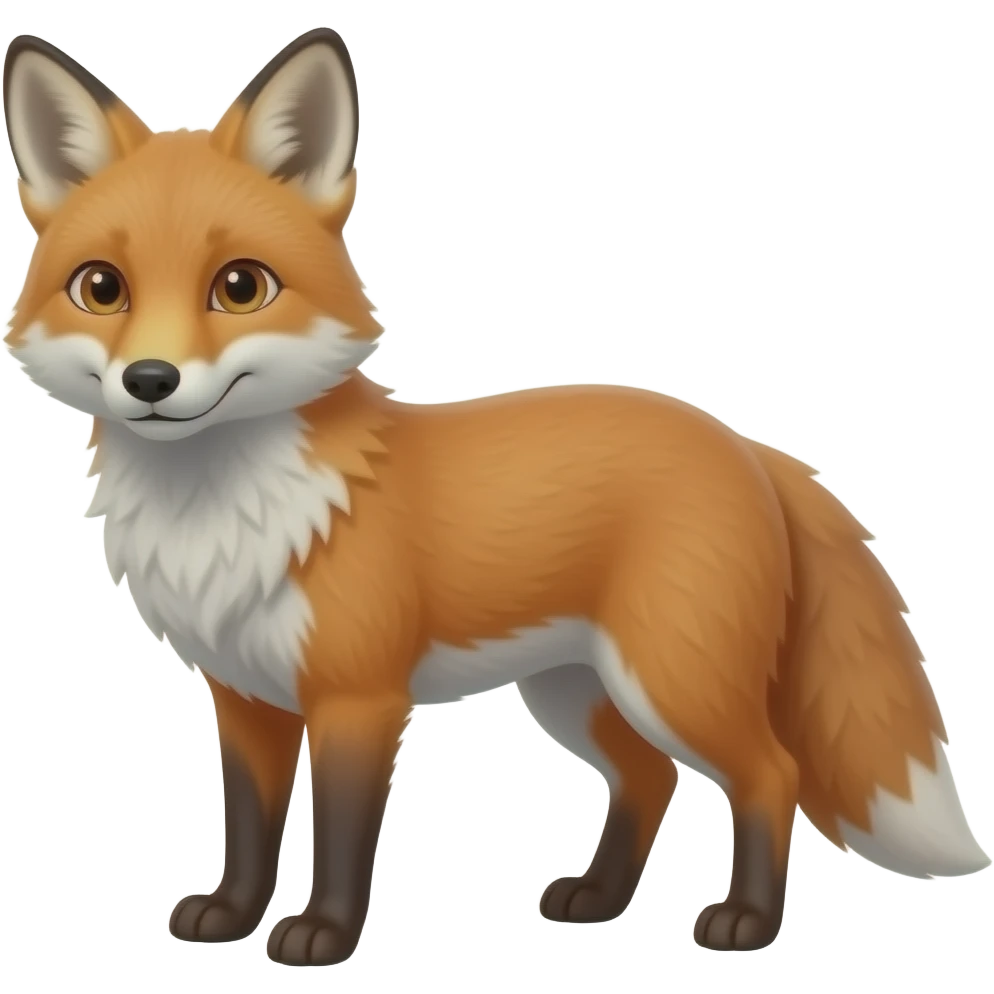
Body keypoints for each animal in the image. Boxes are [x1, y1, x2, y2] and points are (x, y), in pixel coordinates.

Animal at [2, 27, 989, 967]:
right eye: (102, 288)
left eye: (240, 286)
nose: (150, 380)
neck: (223, 514)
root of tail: (745, 445)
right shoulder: (246, 698)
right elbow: (247, 829)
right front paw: (231, 916)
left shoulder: (359, 699)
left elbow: (342, 838)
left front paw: (323, 935)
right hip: (577, 692)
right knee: (649, 778)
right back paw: (599, 899)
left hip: (674, 681)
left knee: (769, 775)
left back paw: (745, 920)